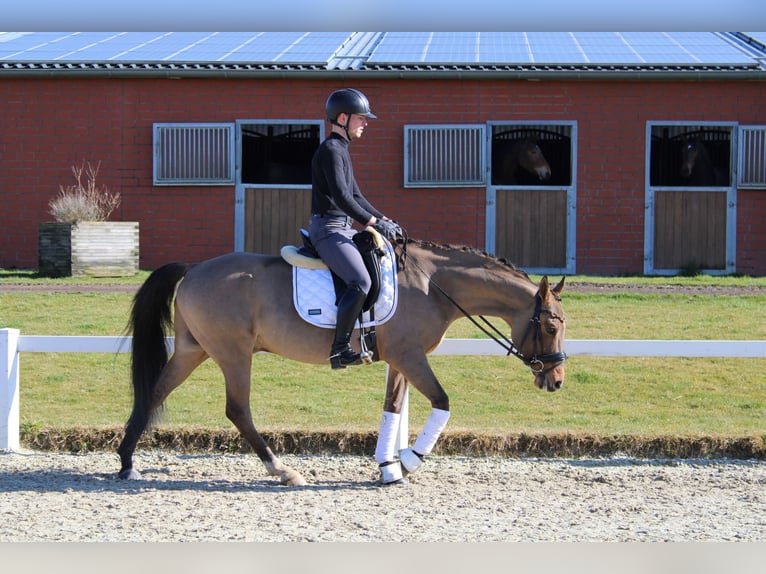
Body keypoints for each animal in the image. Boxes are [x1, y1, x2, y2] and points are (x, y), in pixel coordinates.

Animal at [115, 238, 568, 486]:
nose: (558, 380)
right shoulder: (410, 356)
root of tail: (194, 268)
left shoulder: (401, 359)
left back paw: (126, 463)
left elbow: (392, 409)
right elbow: (442, 402)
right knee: (238, 410)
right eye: (549, 327)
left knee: (153, 393)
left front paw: (388, 467)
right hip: (233, 353)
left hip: (194, 350)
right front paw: (409, 461)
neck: (433, 286)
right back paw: (282, 470)